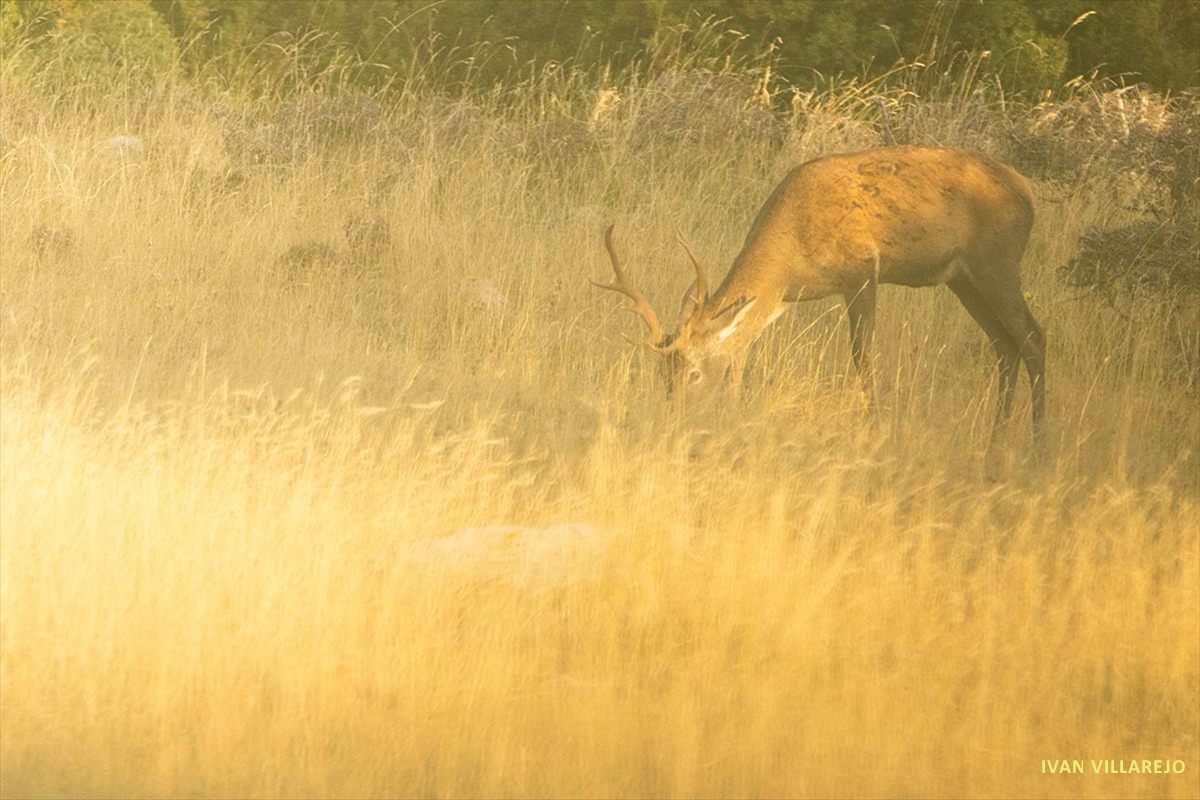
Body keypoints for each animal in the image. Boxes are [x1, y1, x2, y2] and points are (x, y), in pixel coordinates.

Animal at [593, 146, 1046, 450]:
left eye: (692, 374)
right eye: (662, 377)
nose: (676, 421)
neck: (793, 253)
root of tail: (1029, 189)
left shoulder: (863, 271)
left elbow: (862, 357)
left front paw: (873, 431)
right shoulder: (781, 299)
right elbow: (741, 358)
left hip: (997, 259)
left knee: (1033, 338)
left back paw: (1038, 444)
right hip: (963, 279)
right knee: (1004, 345)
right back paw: (996, 441)